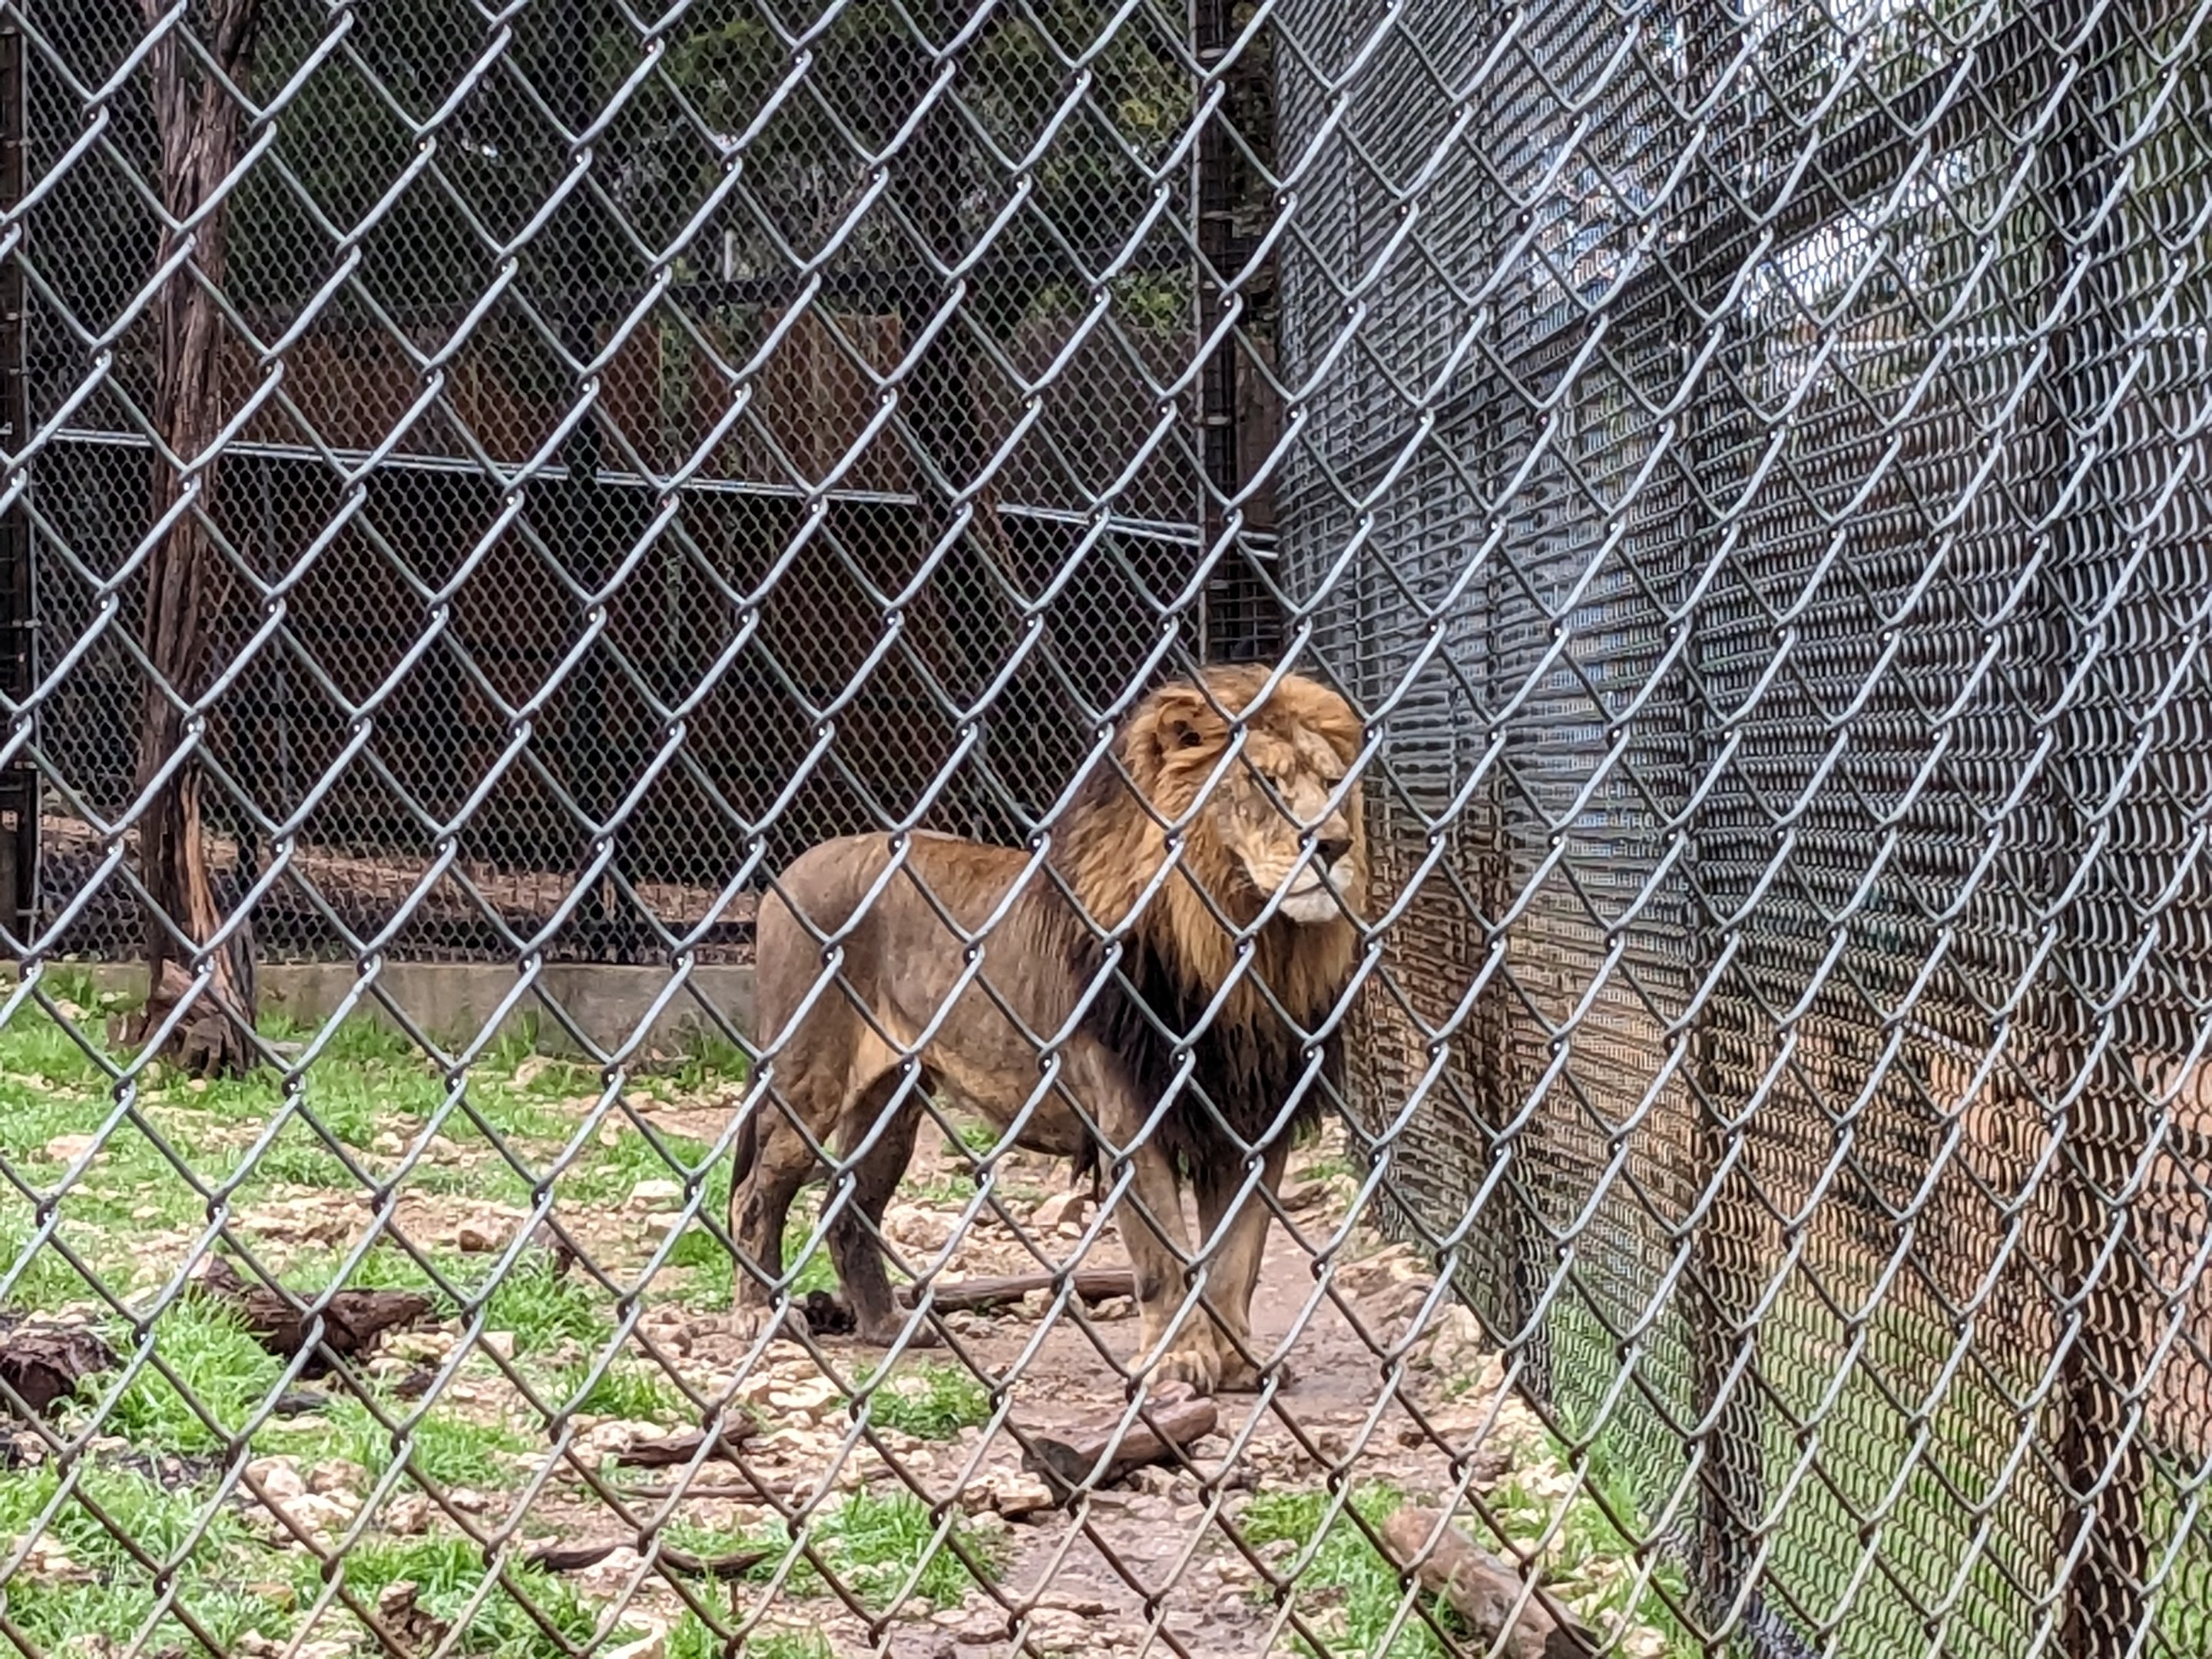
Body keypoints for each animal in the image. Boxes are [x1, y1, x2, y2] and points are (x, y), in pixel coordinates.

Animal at [721, 664, 1364, 1395]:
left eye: (1332, 782)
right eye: (1266, 785)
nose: (1335, 844)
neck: (1248, 959)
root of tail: (788, 875)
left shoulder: (1257, 1121)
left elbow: (1238, 1259)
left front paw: (1238, 1363)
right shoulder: (1130, 1118)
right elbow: (1162, 1258)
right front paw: (1174, 1362)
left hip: (892, 1105)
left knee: (849, 1207)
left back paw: (886, 1325)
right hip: (809, 1081)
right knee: (755, 1194)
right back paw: (757, 1315)